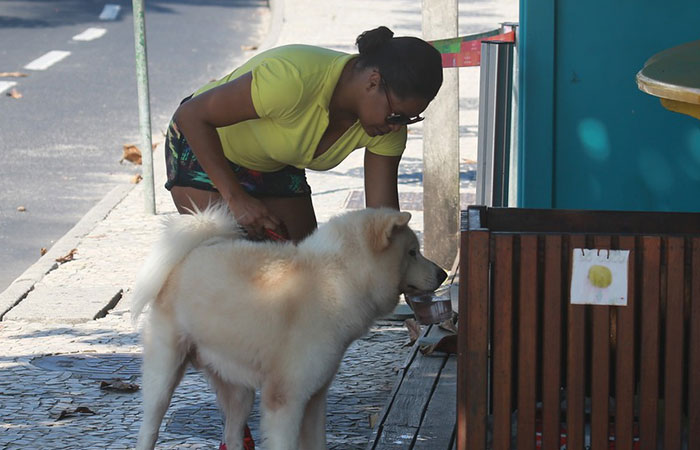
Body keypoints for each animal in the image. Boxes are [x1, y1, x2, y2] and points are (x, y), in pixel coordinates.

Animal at [131, 206, 446, 448]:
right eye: (412, 253)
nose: (443, 274)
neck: (337, 277)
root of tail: (189, 254)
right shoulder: (286, 402)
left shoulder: (315, 398)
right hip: (164, 378)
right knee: (149, 429)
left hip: (240, 392)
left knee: (232, 435)